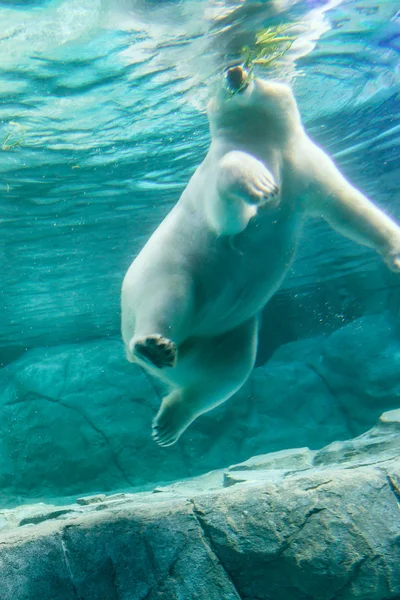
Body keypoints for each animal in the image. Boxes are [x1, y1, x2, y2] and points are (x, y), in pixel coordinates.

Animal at [121, 68, 400, 448]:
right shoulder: (215, 172)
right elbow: (228, 215)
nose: (234, 71)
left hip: (229, 333)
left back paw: (169, 421)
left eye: (252, 67)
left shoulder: (307, 164)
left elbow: (347, 207)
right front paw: (260, 183)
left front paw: (396, 253)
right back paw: (153, 347)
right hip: (163, 272)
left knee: (226, 371)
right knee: (168, 297)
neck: (265, 138)